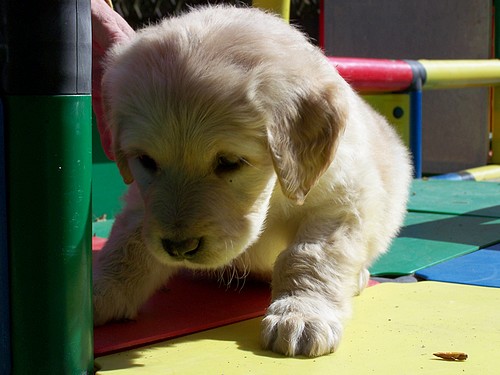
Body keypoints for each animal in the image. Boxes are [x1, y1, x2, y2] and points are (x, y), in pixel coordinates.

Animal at [93, 5, 410, 358]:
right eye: (146, 161)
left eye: (229, 162)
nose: (178, 248)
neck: (273, 194)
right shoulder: (143, 204)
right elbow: (126, 249)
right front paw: (92, 294)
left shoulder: (343, 202)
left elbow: (310, 256)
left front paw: (300, 313)